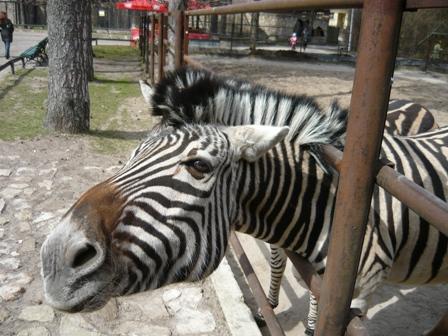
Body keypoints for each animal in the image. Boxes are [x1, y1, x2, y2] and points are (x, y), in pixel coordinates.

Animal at [40, 67, 446, 334]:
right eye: (136, 152)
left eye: (199, 166)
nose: (55, 258)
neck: (327, 197)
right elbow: (283, 267)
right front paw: (270, 306)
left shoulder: (362, 287)